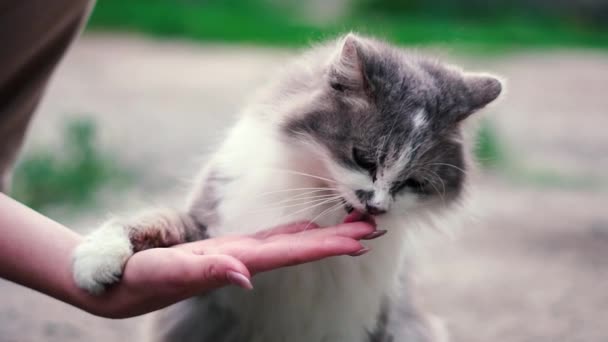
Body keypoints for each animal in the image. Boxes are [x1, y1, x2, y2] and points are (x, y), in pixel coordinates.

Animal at [71, 32, 502, 342]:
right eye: (363, 159)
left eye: (412, 183)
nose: (377, 206)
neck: (315, 200)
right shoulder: (208, 223)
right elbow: (153, 220)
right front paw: (97, 260)